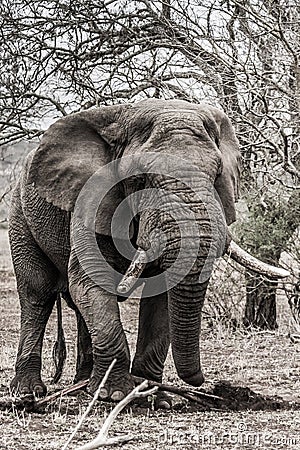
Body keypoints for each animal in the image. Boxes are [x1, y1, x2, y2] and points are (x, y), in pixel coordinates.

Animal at [9, 97, 290, 404]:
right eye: (141, 178)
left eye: (217, 174)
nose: (203, 382)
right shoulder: (91, 200)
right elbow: (92, 282)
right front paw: (115, 394)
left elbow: (162, 295)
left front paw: (154, 397)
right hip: (19, 213)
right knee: (37, 293)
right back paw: (29, 391)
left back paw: (84, 386)